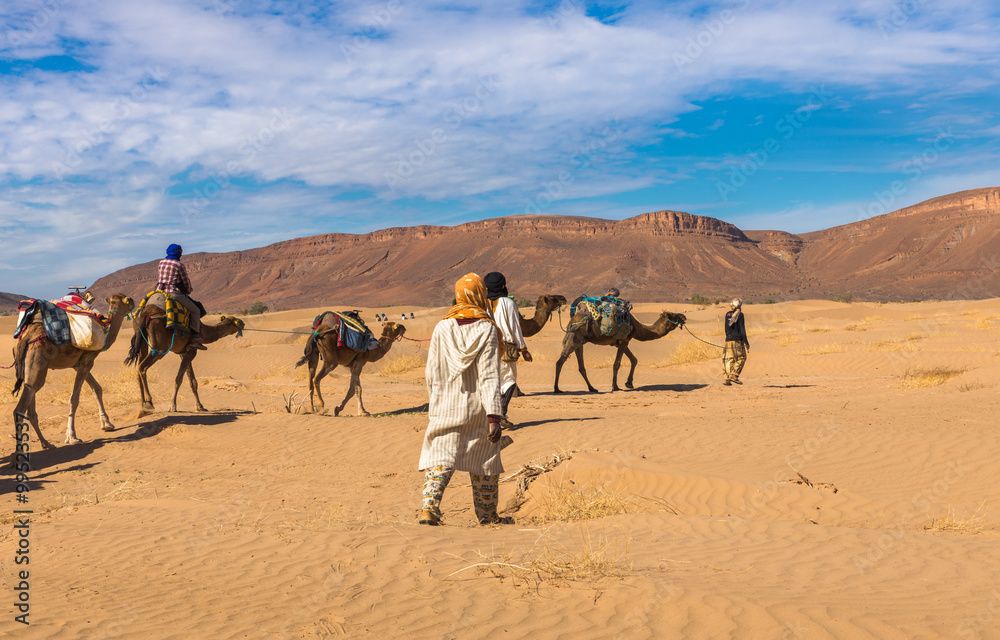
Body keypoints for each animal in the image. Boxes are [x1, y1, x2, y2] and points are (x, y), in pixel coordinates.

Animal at [11, 294, 136, 453]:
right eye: (127, 299)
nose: (134, 303)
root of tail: (26, 337)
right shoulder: (86, 363)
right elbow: (74, 399)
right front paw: (72, 437)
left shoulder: (80, 364)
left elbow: (97, 388)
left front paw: (107, 424)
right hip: (37, 366)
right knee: (21, 408)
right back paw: (21, 453)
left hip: (30, 369)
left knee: (30, 406)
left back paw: (46, 443)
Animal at [553, 309, 687, 393]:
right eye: (674, 315)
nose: (684, 316)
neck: (637, 328)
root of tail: (571, 322)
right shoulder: (624, 341)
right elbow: (617, 364)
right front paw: (616, 386)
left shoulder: (621, 343)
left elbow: (634, 359)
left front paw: (629, 383)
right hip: (576, 337)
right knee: (561, 361)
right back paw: (557, 389)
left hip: (579, 342)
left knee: (579, 366)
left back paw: (591, 388)